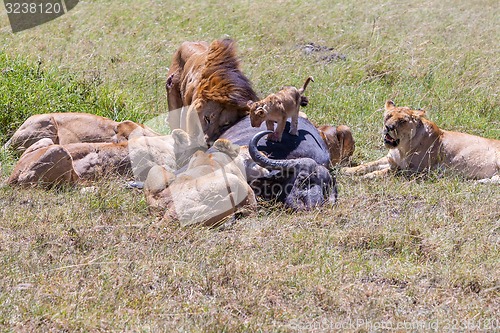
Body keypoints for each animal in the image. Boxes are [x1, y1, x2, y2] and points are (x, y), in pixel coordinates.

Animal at [344, 100, 500, 182]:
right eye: (388, 116)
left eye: (402, 121)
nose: (388, 127)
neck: (401, 148)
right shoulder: (391, 160)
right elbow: (368, 164)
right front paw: (347, 170)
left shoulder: (417, 170)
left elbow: (389, 172)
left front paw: (369, 176)